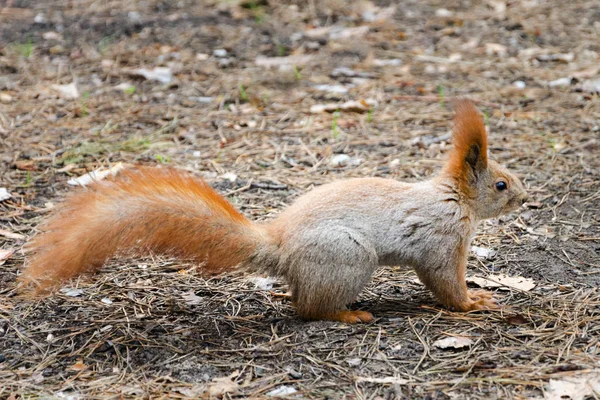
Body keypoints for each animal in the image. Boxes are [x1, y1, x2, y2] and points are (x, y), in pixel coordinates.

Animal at [18, 101, 528, 324]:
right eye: (500, 184)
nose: (525, 198)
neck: (453, 198)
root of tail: (281, 248)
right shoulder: (442, 240)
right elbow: (444, 282)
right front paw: (474, 303)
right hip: (349, 258)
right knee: (309, 310)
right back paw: (346, 315)